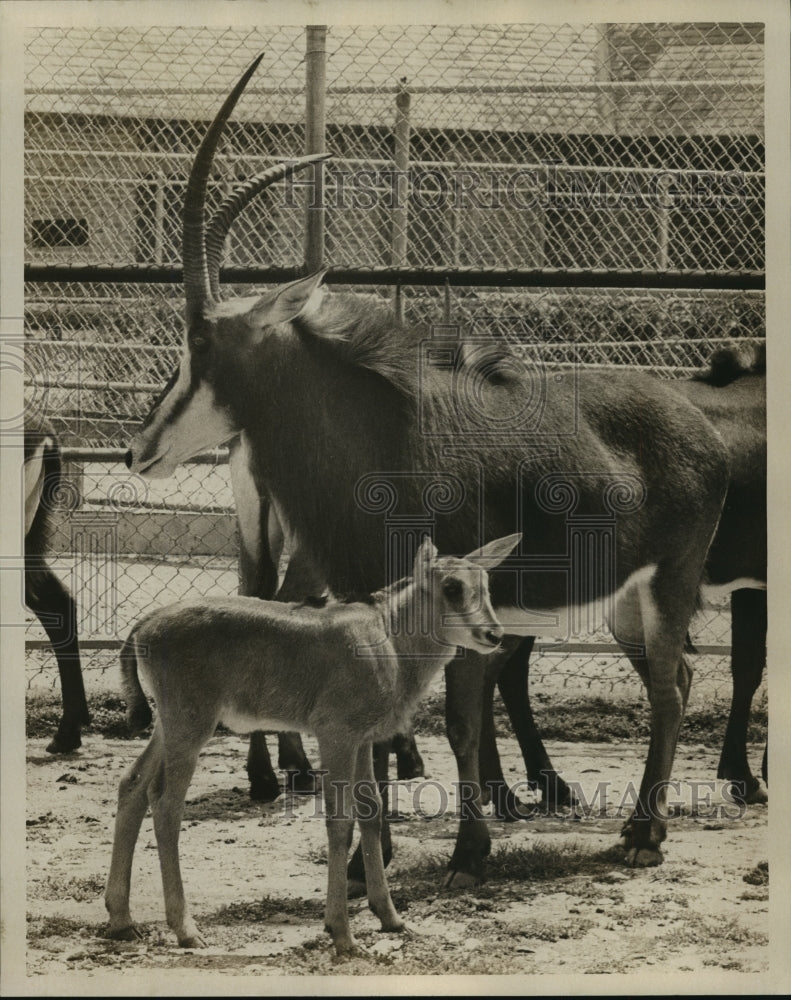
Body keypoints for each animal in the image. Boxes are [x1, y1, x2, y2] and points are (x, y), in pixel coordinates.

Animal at [106, 532, 524, 952]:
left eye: (486, 585)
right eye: (452, 587)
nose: (493, 635)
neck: (387, 642)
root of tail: (143, 629)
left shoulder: (363, 739)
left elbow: (371, 812)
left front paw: (390, 917)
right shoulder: (335, 733)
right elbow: (339, 821)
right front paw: (342, 933)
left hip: (169, 725)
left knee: (133, 784)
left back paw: (122, 918)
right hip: (190, 723)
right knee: (165, 803)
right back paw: (186, 928)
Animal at [127, 58, 732, 880]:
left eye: (200, 345)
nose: (138, 449)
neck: (385, 438)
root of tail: (700, 426)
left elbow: (460, 725)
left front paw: (469, 851)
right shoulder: (372, 606)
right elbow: (378, 731)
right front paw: (363, 865)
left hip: (669, 582)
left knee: (668, 692)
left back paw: (644, 834)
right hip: (622, 600)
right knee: (681, 680)